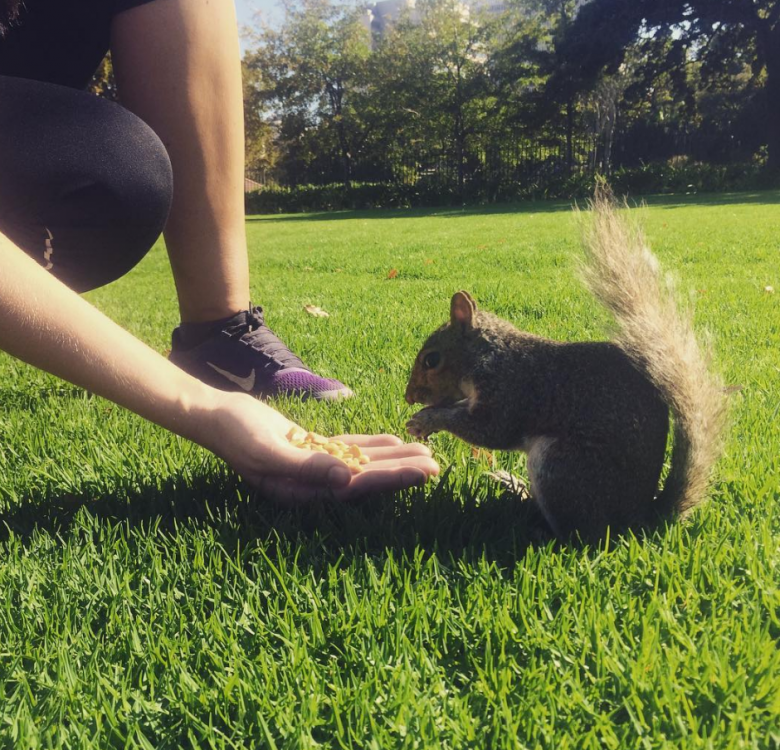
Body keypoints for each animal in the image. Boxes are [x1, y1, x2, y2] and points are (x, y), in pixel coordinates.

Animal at [406, 188, 728, 540]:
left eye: (432, 360)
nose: (409, 397)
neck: (489, 355)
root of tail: (638, 521)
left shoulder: (509, 391)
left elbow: (489, 429)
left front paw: (426, 419)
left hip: (561, 468)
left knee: (580, 535)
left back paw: (535, 524)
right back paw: (516, 488)